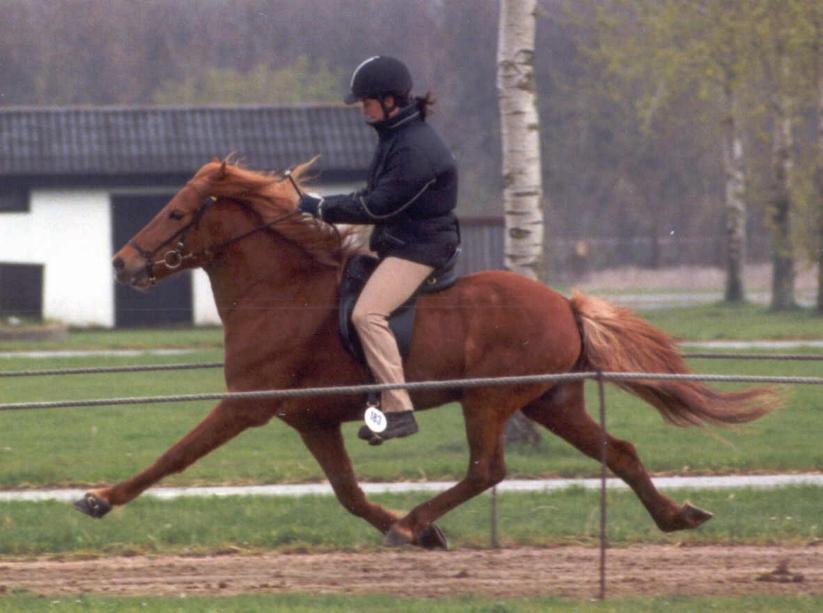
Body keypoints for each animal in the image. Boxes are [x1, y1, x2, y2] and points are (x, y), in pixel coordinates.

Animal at [80, 160, 784, 548]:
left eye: (176, 213)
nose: (121, 264)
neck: (280, 292)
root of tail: (564, 304)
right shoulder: (311, 420)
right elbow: (348, 494)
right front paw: (420, 535)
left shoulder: (246, 405)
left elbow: (174, 456)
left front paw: (100, 499)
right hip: (553, 402)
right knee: (621, 451)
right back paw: (676, 516)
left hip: (490, 399)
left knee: (486, 470)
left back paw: (414, 521)